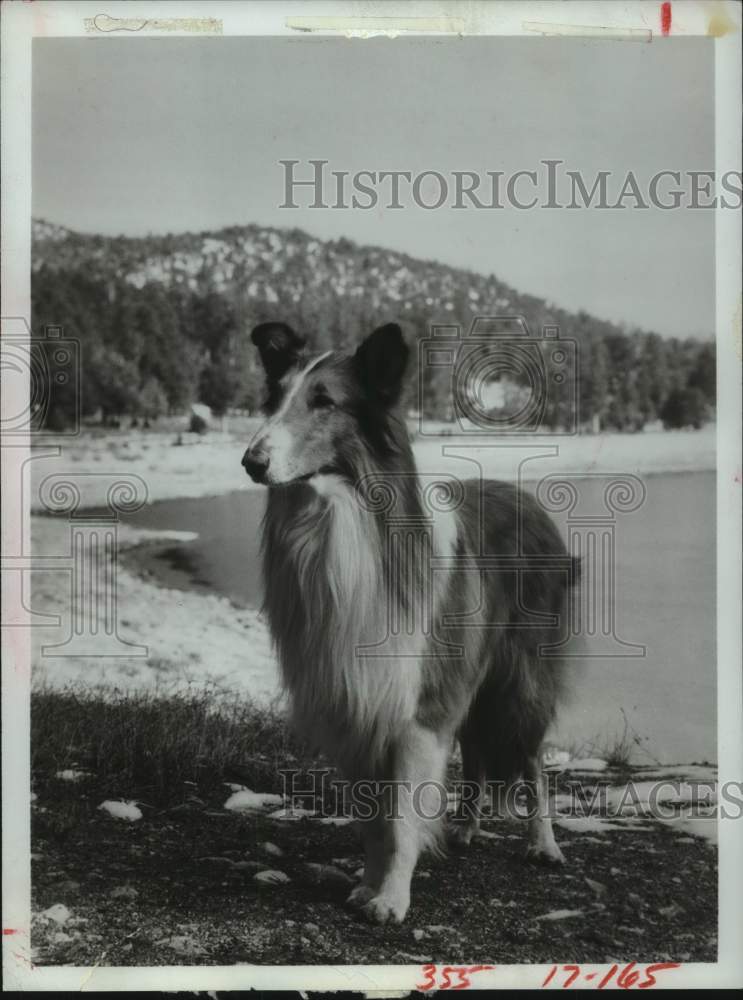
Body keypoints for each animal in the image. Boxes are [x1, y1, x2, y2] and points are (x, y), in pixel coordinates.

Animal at [244, 324, 580, 924]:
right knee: (477, 758)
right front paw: (367, 886)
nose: (250, 462)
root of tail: (527, 498)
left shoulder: (417, 710)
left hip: (519, 681)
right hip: (469, 678)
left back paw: (544, 845)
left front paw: (392, 899)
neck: (344, 525)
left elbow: (402, 820)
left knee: (532, 763)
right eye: (276, 396)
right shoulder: (357, 705)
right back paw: (466, 829)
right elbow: (376, 822)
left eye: (324, 401)